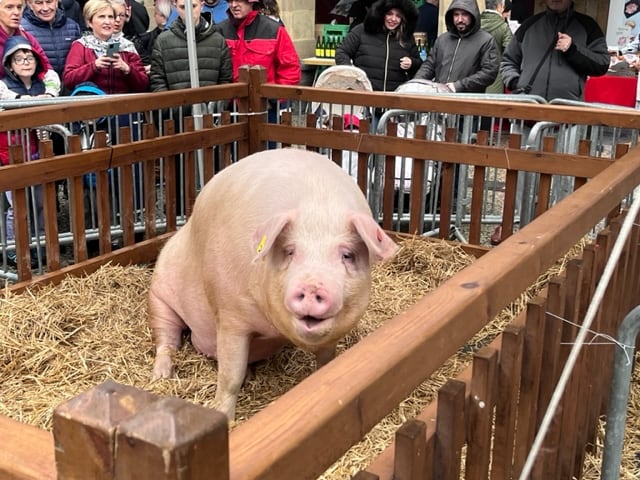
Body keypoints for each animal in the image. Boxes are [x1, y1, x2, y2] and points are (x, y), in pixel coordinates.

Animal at [149, 147, 398, 420]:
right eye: (290, 251)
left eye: (347, 255)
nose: (312, 286)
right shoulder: (230, 315)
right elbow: (230, 376)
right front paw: (225, 418)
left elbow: (326, 362)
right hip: (159, 292)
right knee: (166, 339)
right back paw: (161, 376)